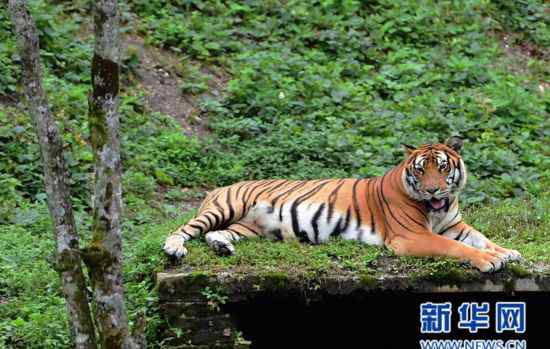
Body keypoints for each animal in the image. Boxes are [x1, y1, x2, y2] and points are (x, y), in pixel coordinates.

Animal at [164, 137, 520, 272]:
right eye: (421, 169)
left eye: (443, 168)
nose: (433, 190)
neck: (440, 208)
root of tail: (221, 186)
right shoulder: (412, 237)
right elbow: (457, 248)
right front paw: (490, 261)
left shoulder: (454, 225)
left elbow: (481, 238)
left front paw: (507, 252)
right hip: (225, 208)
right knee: (185, 229)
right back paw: (174, 248)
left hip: (246, 227)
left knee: (217, 234)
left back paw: (222, 247)